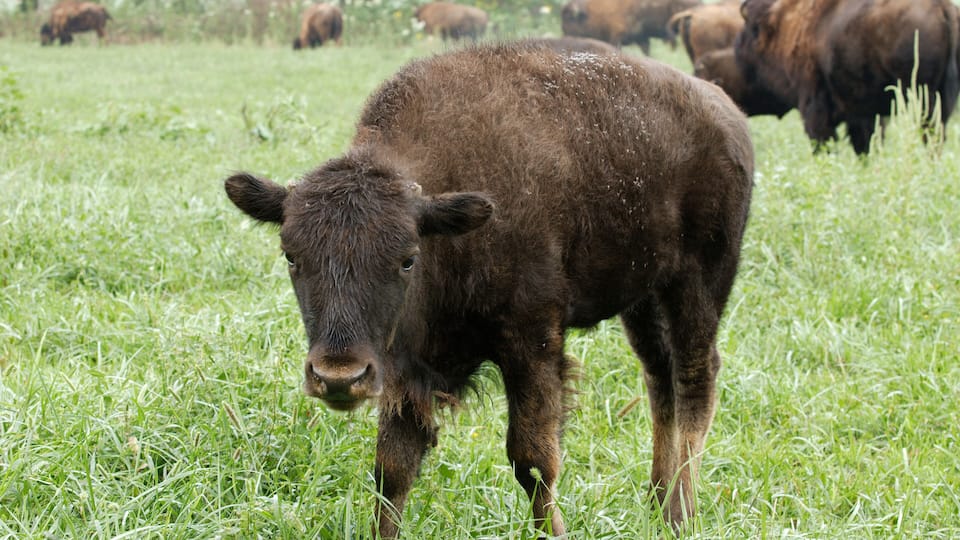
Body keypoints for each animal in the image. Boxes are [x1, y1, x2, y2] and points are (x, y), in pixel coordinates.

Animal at [224, 42, 753, 536]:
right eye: (291, 255)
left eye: (407, 259)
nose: (338, 377)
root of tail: (727, 112)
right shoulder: (404, 367)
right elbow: (392, 469)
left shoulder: (533, 343)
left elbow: (533, 460)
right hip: (642, 297)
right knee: (659, 377)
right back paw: (656, 503)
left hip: (700, 282)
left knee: (695, 379)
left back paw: (679, 514)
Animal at [736, 0, 960, 154]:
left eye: (752, 30)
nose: (738, 49)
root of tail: (943, 7)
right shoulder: (864, 113)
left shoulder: (814, 105)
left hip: (923, 98)